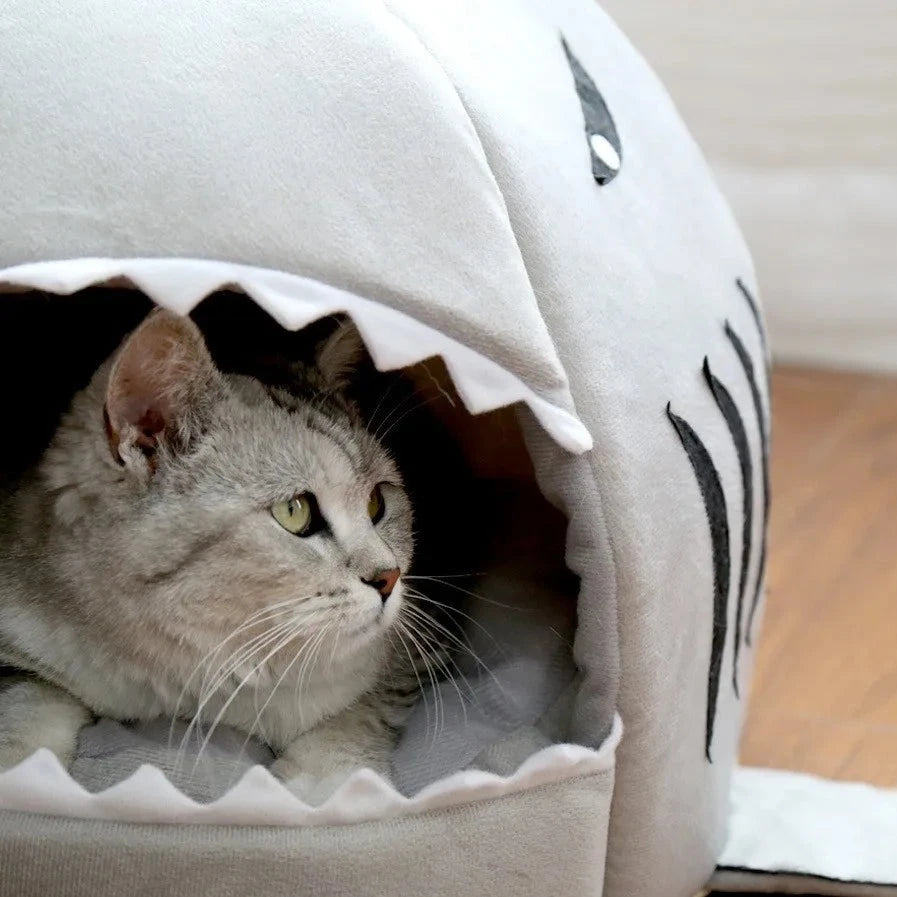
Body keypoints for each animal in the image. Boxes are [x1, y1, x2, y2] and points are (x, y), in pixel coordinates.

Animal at [0, 310, 426, 804]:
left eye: (377, 503)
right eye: (295, 511)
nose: (390, 576)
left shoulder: (396, 666)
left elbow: (350, 718)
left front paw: (330, 787)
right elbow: (26, 702)